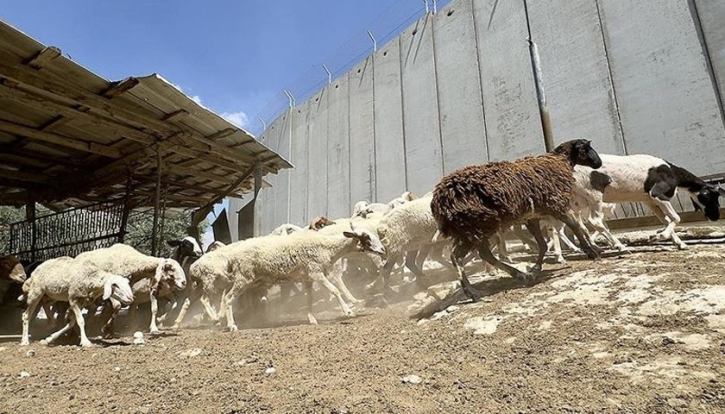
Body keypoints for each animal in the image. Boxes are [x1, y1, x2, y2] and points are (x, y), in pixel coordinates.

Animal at [432, 139, 604, 300]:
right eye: (586, 148)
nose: (599, 163)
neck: (559, 161)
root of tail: (439, 201)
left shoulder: (533, 218)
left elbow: (542, 245)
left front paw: (535, 270)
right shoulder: (556, 205)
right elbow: (574, 226)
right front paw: (592, 252)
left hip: (471, 229)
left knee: (481, 255)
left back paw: (520, 276)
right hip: (477, 225)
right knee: (459, 256)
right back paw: (473, 292)